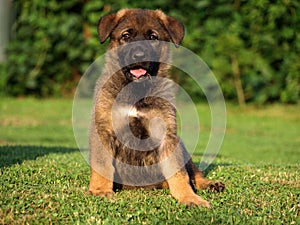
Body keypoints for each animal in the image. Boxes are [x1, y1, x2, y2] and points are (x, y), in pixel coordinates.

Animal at [88, 8, 224, 207]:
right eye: (126, 36)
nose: (139, 56)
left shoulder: (166, 135)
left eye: (153, 37)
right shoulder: (104, 130)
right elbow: (102, 164)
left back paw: (210, 184)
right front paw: (99, 190)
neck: (137, 91)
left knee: (194, 172)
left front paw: (189, 197)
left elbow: (179, 173)